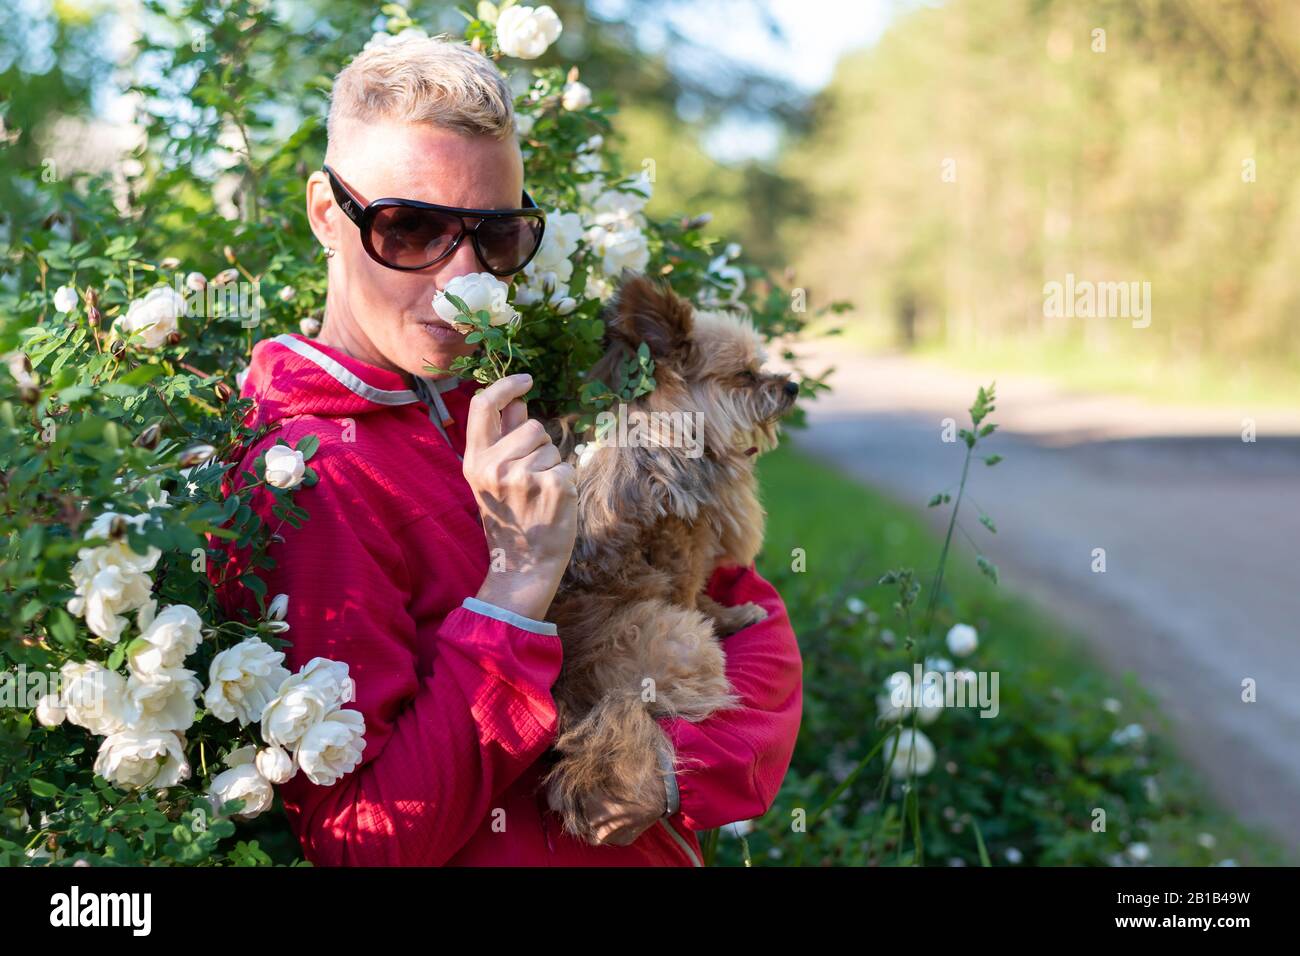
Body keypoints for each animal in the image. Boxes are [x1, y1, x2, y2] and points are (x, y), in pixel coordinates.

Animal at [540, 274, 800, 842]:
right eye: (746, 375)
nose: (790, 386)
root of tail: (582, 704)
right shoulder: (683, 548)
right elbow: (698, 598)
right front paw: (734, 616)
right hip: (681, 640)